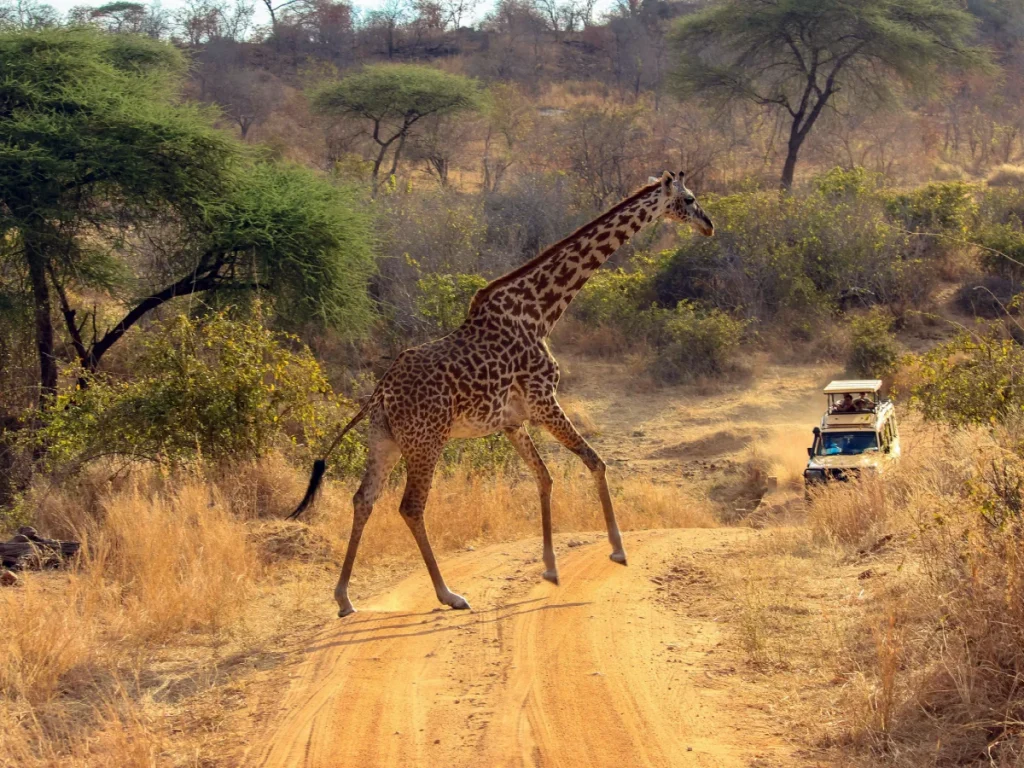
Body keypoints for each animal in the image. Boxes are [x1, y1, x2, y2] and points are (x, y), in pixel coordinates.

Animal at [292, 171, 716, 618]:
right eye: (689, 199)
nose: (709, 225)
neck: (541, 312)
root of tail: (380, 391)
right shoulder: (544, 400)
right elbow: (595, 462)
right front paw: (618, 552)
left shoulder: (514, 421)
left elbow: (544, 477)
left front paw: (551, 570)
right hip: (426, 440)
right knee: (410, 506)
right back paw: (449, 594)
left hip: (385, 439)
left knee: (363, 499)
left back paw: (344, 598)